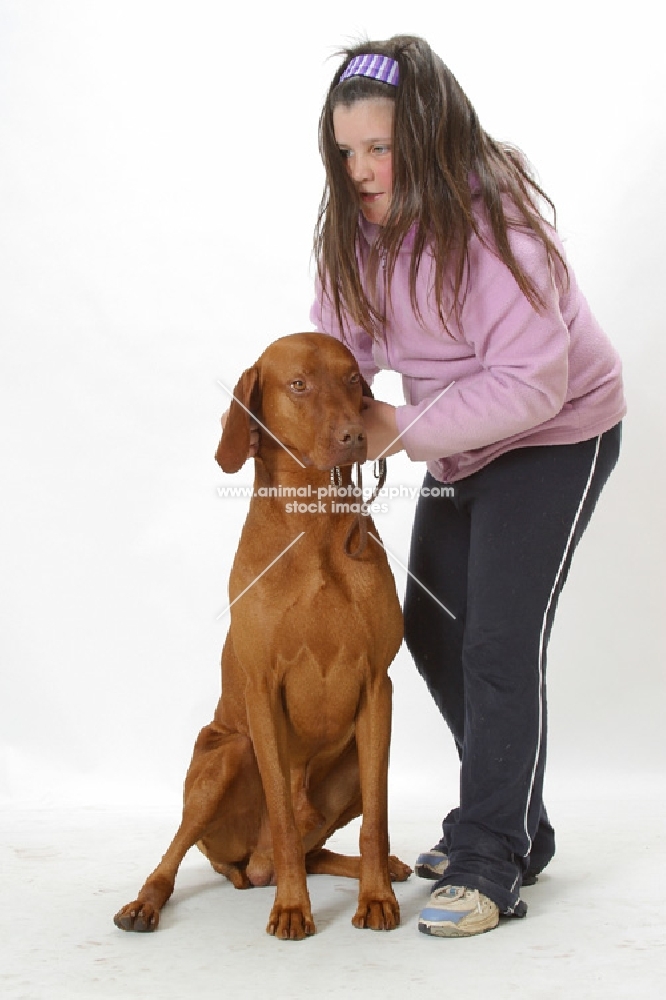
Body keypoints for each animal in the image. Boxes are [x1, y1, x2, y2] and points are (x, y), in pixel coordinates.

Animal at [111, 334, 408, 936]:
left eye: (352, 379)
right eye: (298, 384)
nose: (356, 436)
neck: (313, 525)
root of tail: (251, 864)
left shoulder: (378, 686)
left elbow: (377, 819)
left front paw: (376, 898)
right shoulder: (262, 691)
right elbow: (285, 820)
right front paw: (293, 907)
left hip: (349, 764)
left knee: (326, 846)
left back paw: (384, 867)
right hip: (225, 754)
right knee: (178, 852)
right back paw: (145, 903)